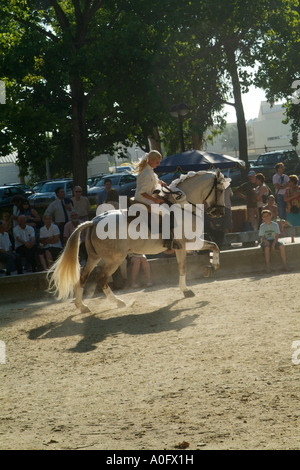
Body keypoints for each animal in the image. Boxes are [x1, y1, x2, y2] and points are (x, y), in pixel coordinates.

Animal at [47, 170, 230, 312]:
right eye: (220, 190)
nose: (219, 213)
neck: (182, 206)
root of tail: (94, 221)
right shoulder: (187, 244)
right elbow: (188, 263)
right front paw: (192, 285)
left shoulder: (186, 245)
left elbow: (213, 247)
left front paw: (211, 266)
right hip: (115, 258)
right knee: (101, 278)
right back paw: (118, 302)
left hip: (95, 257)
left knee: (83, 277)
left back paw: (82, 306)